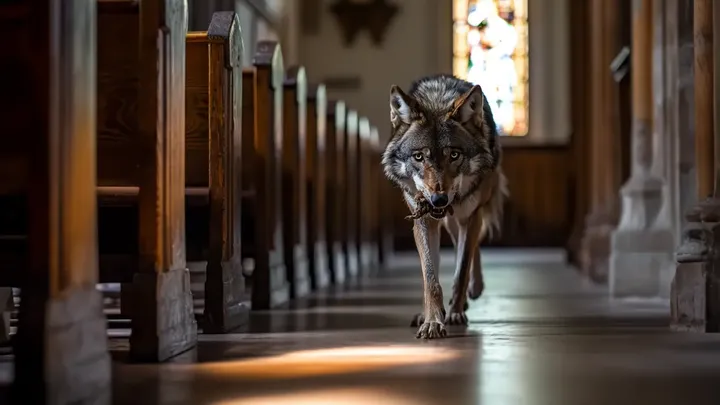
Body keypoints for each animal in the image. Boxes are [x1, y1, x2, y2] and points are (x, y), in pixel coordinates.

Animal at [382, 74, 508, 339]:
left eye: (454, 155)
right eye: (419, 157)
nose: (438, 200)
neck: (436, 101)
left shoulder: (471, 215)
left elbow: (461, 270)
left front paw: (456, 313)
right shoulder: (423, 220)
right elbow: (430, 277)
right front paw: (432, 320)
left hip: (464, 216)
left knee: (472, 248)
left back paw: (473, 291)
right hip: (448, 221)